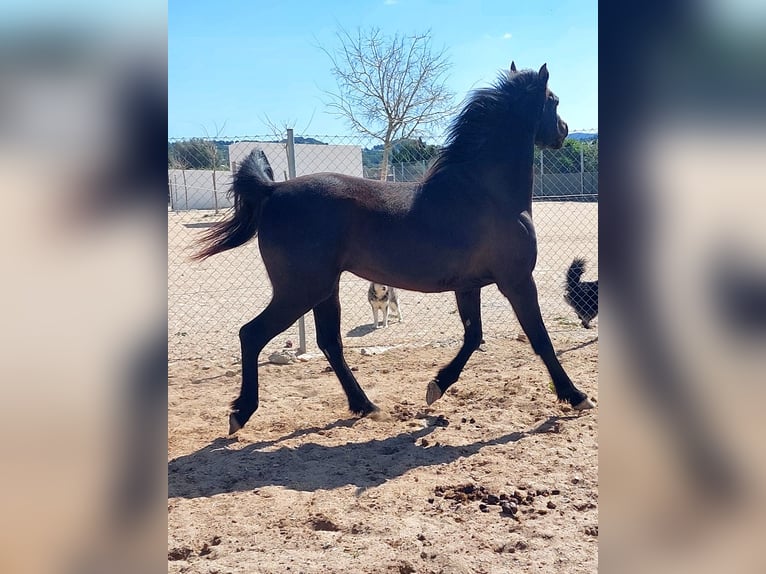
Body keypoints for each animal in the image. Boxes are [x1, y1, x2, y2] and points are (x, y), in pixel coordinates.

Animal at [195, 63, 596, 434]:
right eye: (553, 100)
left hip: (324, 290)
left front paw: (436, 386)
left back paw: (365, 405)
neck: (486, 192)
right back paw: (241, 412)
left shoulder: (469, 286)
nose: (563, 131)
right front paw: (576, 396)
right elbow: (540, 339)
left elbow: (473, 336)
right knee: (252, 334)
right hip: (299, 291)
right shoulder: (517, 281)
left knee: (330, 343)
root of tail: (273, 190)